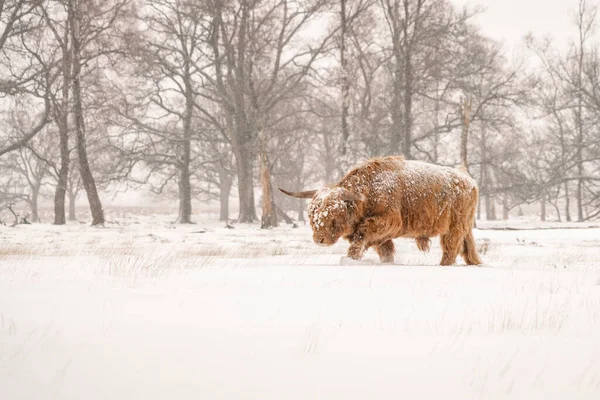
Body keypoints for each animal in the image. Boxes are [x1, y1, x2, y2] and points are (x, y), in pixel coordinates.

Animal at [282, 156, 482, 266]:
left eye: (334, 215)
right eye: (312, 215)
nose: (319, 239)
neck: (369, 191)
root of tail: (468, 179)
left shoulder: (389, 221)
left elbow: (361, 236)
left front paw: (350, 259)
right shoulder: (382, 235)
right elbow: (384, 250)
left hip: (454, 227)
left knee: (451, 247)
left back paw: (444, 264)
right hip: (465, 226)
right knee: (467, 247)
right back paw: (475, 263)